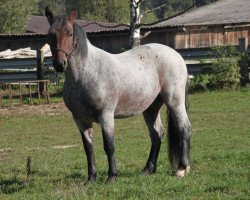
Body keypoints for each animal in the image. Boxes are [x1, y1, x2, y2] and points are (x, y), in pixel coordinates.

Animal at [45, 7, 191, 183]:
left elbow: (109, 145)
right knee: (157, 135)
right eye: (51, 33)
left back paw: (182, 169)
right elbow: (88, 148)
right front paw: (91, 178)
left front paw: (112, 176)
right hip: (151, 108)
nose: (60, 64)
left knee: (184, 128)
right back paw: (148, 169)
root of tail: (177, 56)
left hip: (174, 102)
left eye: (69, 33)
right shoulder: (80, 119)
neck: (85, 74)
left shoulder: (106, 115)